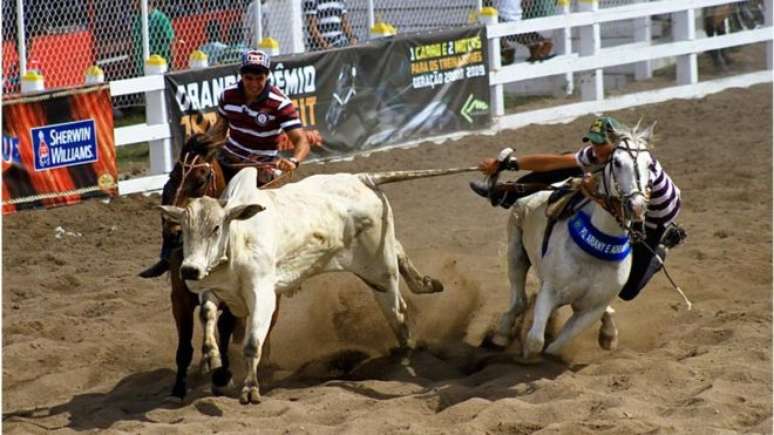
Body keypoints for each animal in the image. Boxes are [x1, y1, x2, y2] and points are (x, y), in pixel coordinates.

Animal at [158, 165, 472, 404]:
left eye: (215, 228)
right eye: (185, 229)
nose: (189, 269)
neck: (239, 238)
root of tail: (362, 178)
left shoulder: (263, 295)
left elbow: (251, 343)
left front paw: (250, 389)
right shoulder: (212, 288)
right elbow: (207, 314)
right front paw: (212, 356)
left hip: (380, 270)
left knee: (399, 313)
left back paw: (407, 354)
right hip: (377, 261)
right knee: (398, 251)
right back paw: (427, 284)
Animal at [492, 122, 656, 358]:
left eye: (650, 165)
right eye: (617, 162)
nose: (637, 206)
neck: (594, 253)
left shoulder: (592, 309)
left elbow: (556, 346)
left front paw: (606, 337)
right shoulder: (550, 291)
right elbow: (535, 341)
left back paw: (609, 334)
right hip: (516, 252)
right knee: (518, 301)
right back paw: (502, 334)